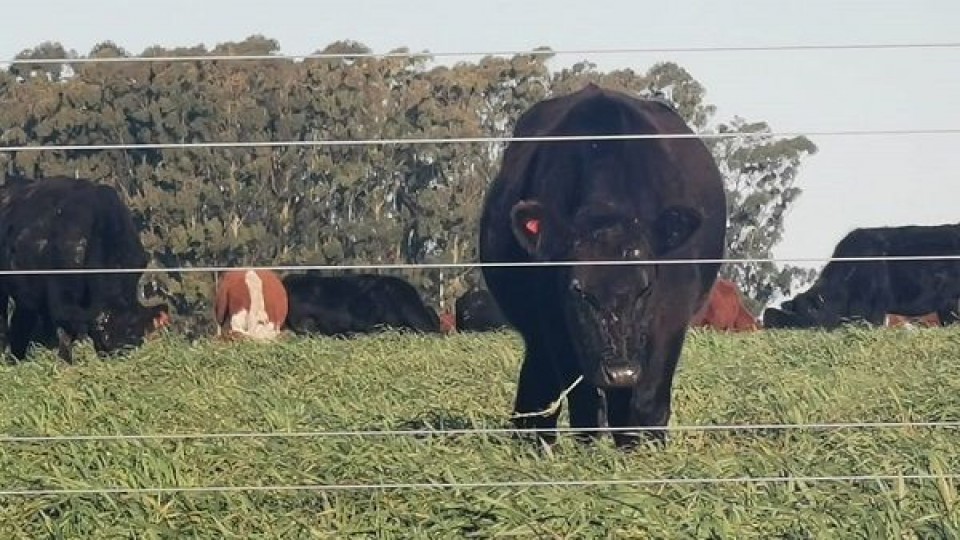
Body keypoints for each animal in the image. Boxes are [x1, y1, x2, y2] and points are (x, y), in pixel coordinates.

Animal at [0, 177, 169, 362]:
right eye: (103, 329)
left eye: (135, 331)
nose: (117, 352)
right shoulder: (61, 300)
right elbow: (65, 334)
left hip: (26, 299)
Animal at [476, 83, 724, 448]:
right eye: (577, 290)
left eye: (645, 288)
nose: (621, 372)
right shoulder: (556, 322)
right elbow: (585, 401)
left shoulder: (671, 315)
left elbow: (649, 398)